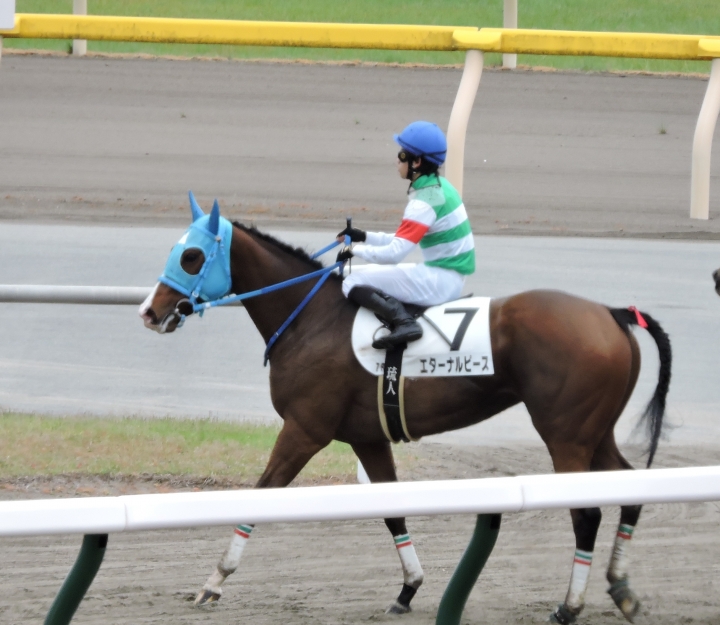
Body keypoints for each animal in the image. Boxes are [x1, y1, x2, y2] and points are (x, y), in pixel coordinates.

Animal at [138, 197, 672, 620]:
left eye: (190, 256)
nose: (149, 311)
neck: (312, 319)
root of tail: (611, 313)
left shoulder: (304, 429)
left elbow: (260, 495)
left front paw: (213, 583)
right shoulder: (367, 437)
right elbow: (392, 510)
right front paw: (408, 589)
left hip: (566, 436)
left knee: (586, 514)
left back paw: (569, 606)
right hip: (595, 432)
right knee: (631, 492)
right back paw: (621, 589)